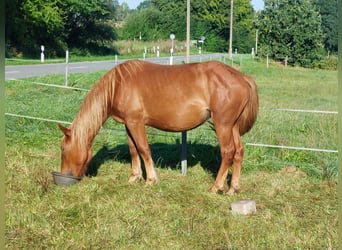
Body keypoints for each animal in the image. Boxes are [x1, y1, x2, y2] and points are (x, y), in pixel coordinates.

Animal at [58, 59, 256, 194]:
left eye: (63, 149)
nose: (65, 176)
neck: (118, 85)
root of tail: (242, 77)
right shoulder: (128, 124)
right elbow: (133, 150)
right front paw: (134, 177)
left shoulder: (136, 123)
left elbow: (144, 149)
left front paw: (150, 180)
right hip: (233, 126)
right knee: (239, 151)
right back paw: (233, 188)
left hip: (223, 125)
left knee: (228, 152)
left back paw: (216, 187)